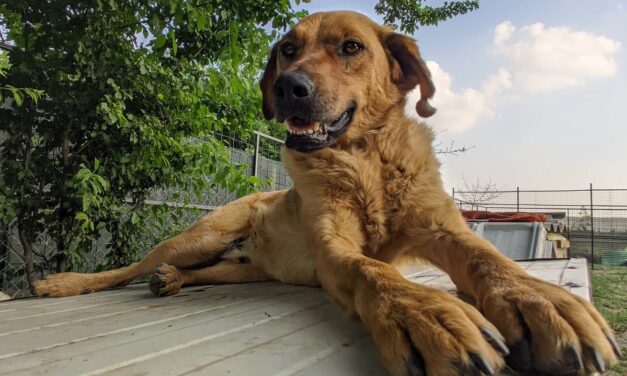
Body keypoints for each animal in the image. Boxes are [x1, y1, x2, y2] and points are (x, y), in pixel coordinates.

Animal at [35, 10, 624, 374]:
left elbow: (487, 257)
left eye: (350, 48)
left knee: (204, 273)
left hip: (243, 268)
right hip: (203, 234)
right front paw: (426, 313)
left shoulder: (438, 227)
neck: (363, 160)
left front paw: (540, 299)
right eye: (287, 49)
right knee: (128, 268)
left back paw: (173, 281)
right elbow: (373, 270)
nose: (287, 86)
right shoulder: (335, 247)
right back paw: (67, 283)